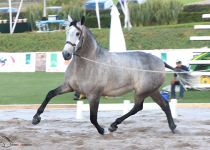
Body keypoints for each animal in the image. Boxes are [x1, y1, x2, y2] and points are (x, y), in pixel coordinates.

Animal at [32, 16, 177, 135]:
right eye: (67, 32)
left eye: (78, 33)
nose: (66, 54)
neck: (87, 64)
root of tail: (160, 61)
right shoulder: (69, 86)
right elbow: (50, 94)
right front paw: (36, 118)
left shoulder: (94, 95)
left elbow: (92, 117)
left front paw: (102, 130)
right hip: (152, 91)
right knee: (164, 104)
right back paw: (173, 126)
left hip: (143, 91)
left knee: (138, 107)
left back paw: (114, 125)